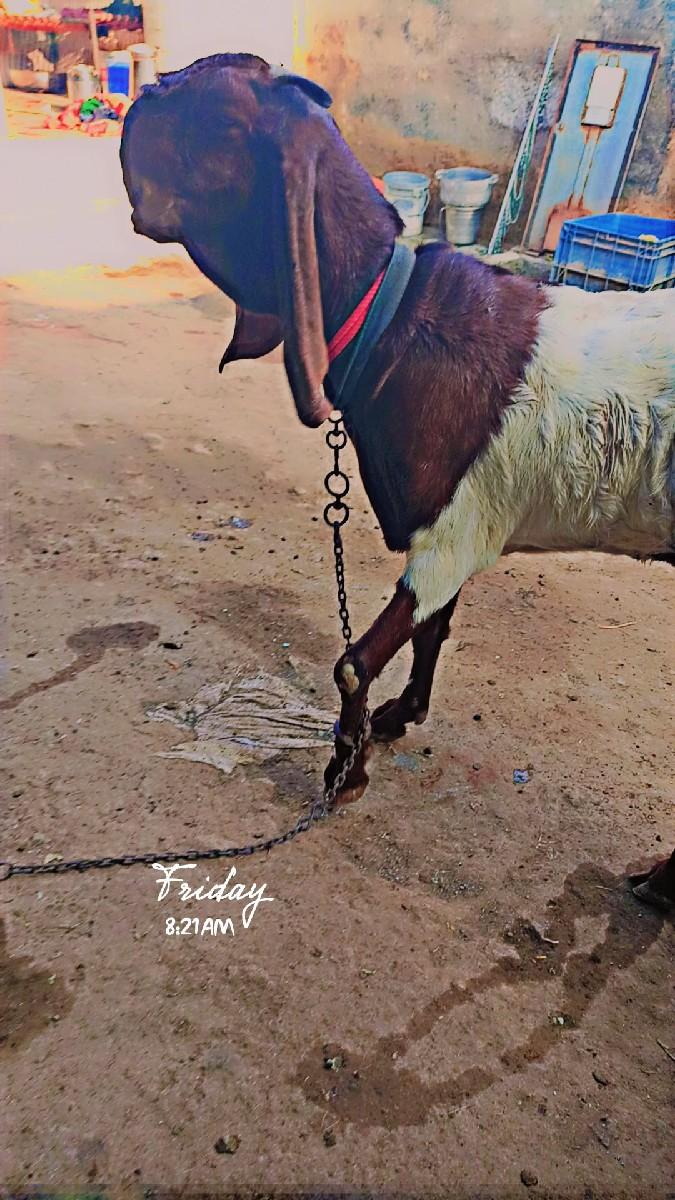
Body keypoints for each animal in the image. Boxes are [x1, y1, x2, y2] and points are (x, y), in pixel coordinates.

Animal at [120, 53, 675, 909]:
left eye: (216, 118)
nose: (136, 99)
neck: (395, 315)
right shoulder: (450, 532)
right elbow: (433, 631)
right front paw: (398, 717)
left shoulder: (452, 532)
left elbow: (356, 656)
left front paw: (344, 771)